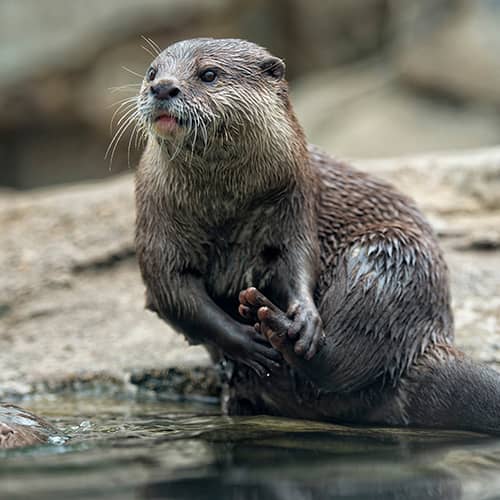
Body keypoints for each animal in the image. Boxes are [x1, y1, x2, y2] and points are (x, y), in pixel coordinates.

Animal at [135, 37, 500, 434]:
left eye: (209, 74)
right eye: (152, 71)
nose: (163, 87)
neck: (226, 208)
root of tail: (430, 339)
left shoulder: (296, 197)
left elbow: (298, 258)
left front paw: (304, 318)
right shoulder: (156, 218)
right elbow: (171, 290)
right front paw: (243, 342)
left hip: (391, 259)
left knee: (346, 355)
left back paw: (279, 326)